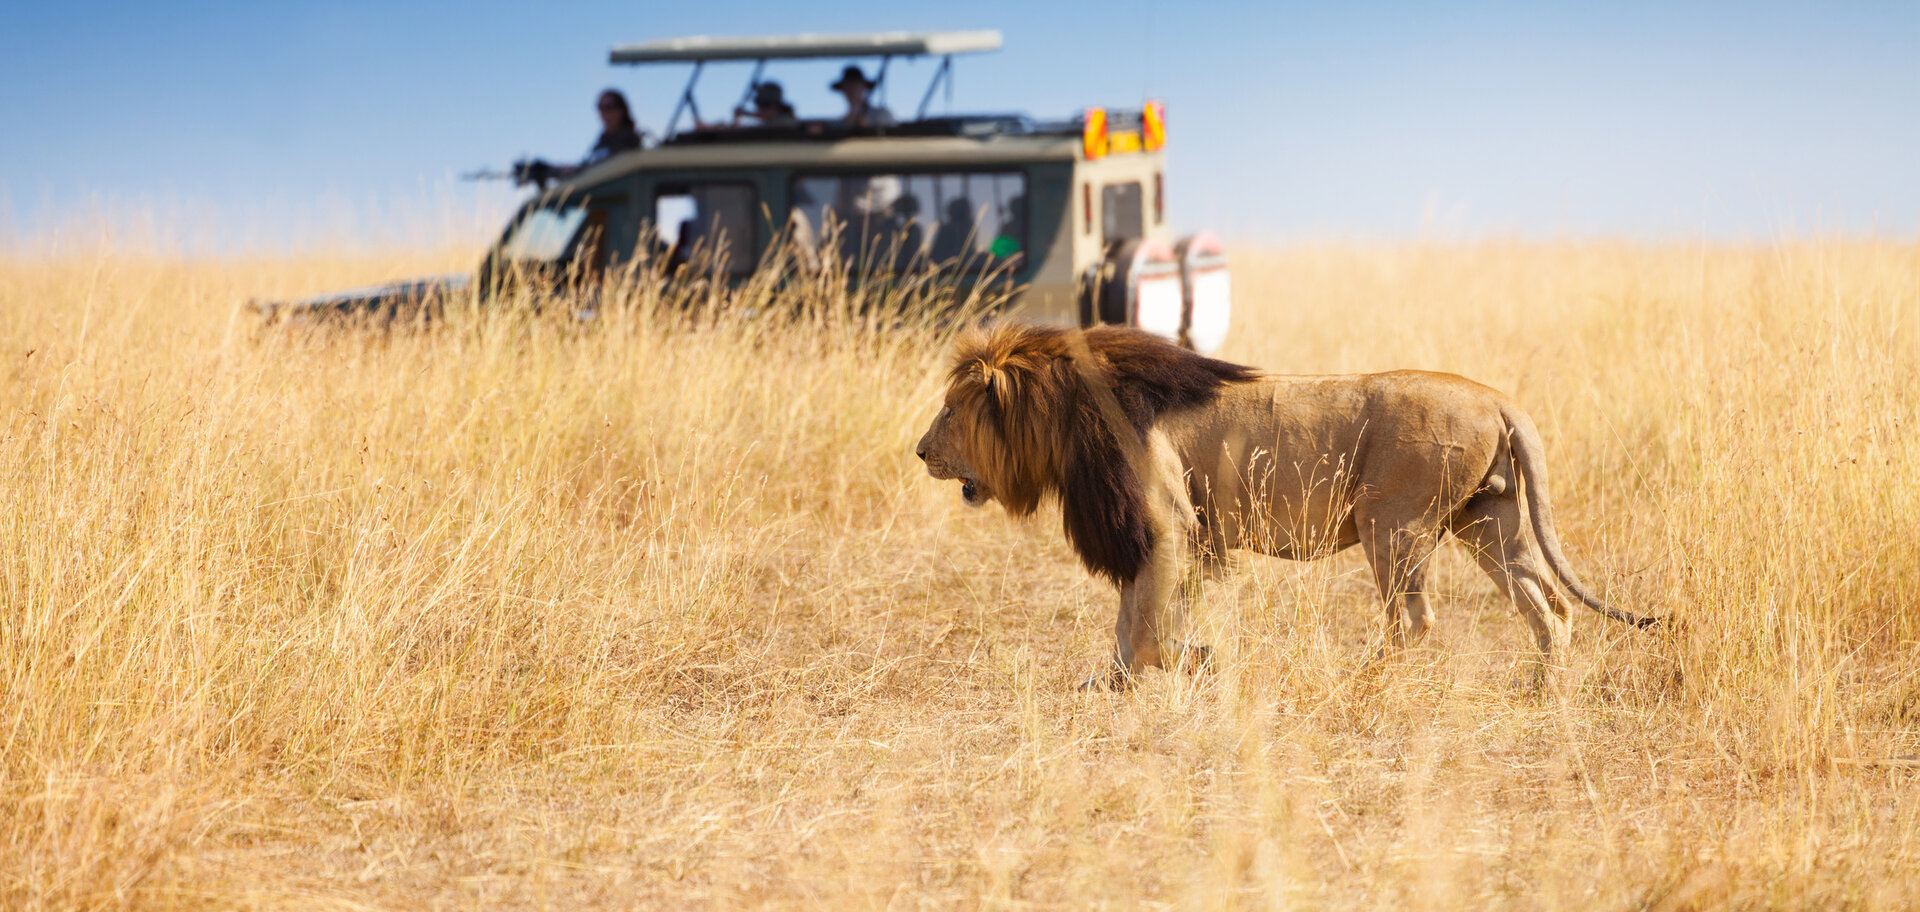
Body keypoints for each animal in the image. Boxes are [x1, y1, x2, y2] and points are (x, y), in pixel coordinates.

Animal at [913, 324, 1651, 687]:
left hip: (1394, 523)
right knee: (1549, 606)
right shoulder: (1154, 534)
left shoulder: (1167, 524)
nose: (920, 452)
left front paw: (1190, 662)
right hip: (1489, 521)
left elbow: (1147, 625)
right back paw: (1543, 688)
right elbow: (1130, 620)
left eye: (949, 411)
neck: (1067, 415)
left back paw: (1370, 680)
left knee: (1415, 621)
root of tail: (1498, 397)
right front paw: (1118, 681)